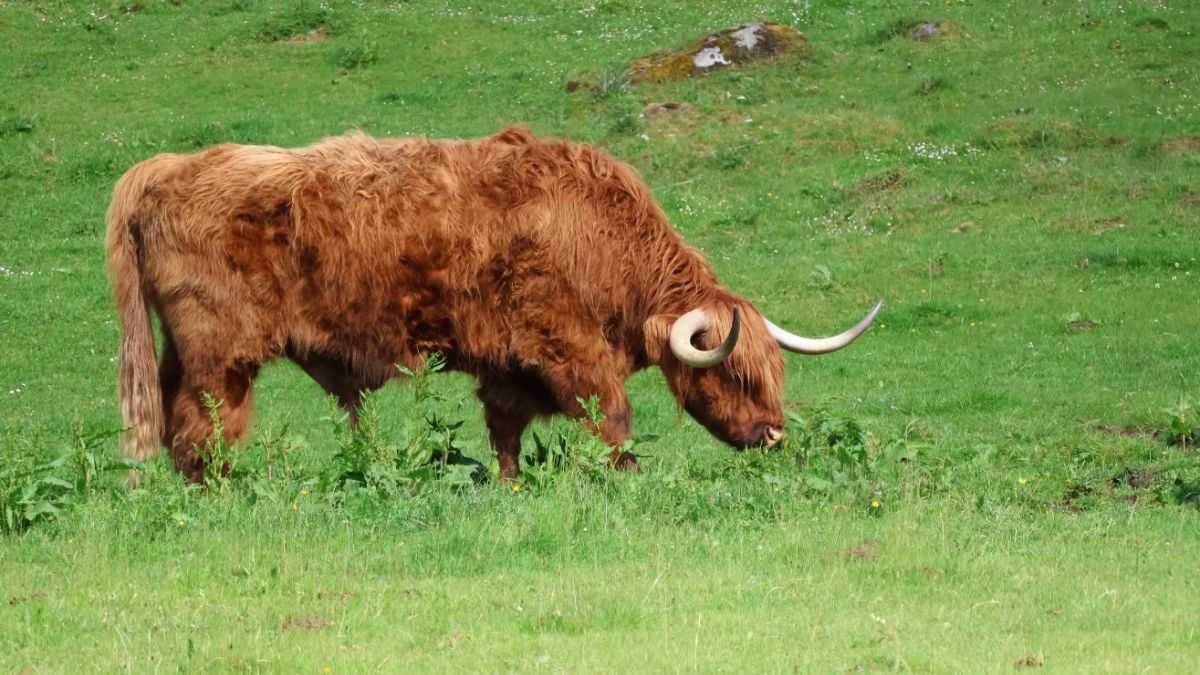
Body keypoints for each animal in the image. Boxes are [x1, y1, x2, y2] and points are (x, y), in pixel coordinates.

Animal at [106, 127, 881, 483]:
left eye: (775, 372)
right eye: (735, 372)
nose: (774, 436)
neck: (598, 234)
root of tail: (168, 166)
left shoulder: (509, 367)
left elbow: (506, 438)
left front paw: (512, 488)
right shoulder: (567, 346)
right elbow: (612, 420)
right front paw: (626, 481)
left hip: (179, 348)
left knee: (176, 418)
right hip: (221, 354)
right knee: (204, 427)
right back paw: (224, 490)